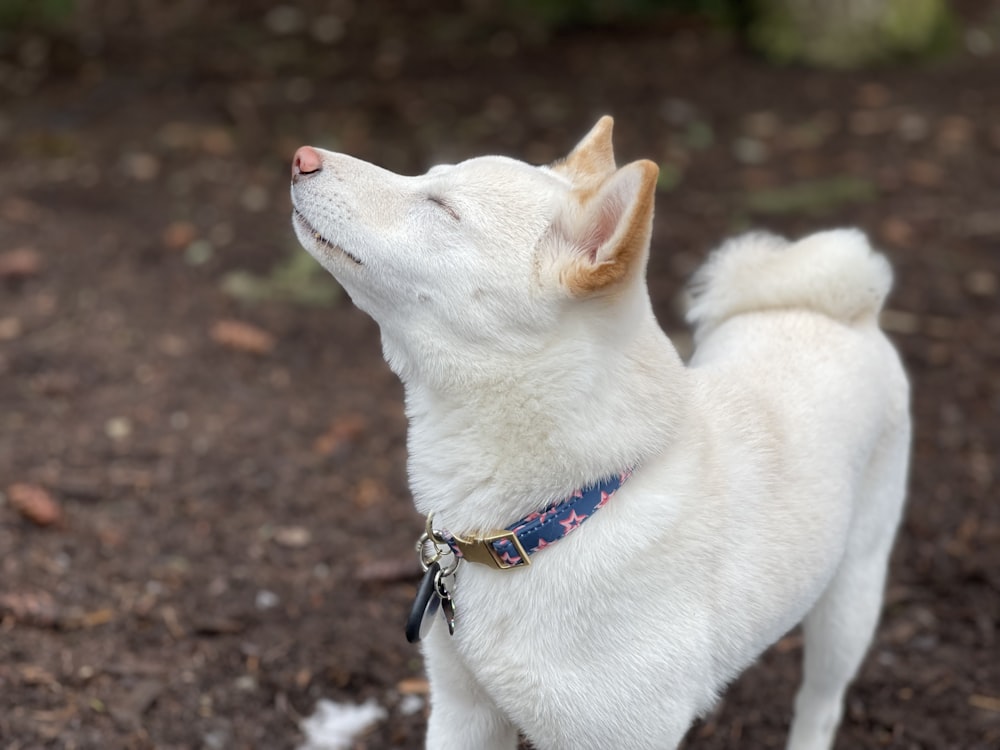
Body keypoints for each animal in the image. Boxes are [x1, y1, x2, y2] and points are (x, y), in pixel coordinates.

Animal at [292, 119, 916, 750]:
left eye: (442, 207)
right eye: (427, 176)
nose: (301, 157)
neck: (548, 521)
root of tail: (843, 312)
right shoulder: (462, 710)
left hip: (849, 602)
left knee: (821, 704)